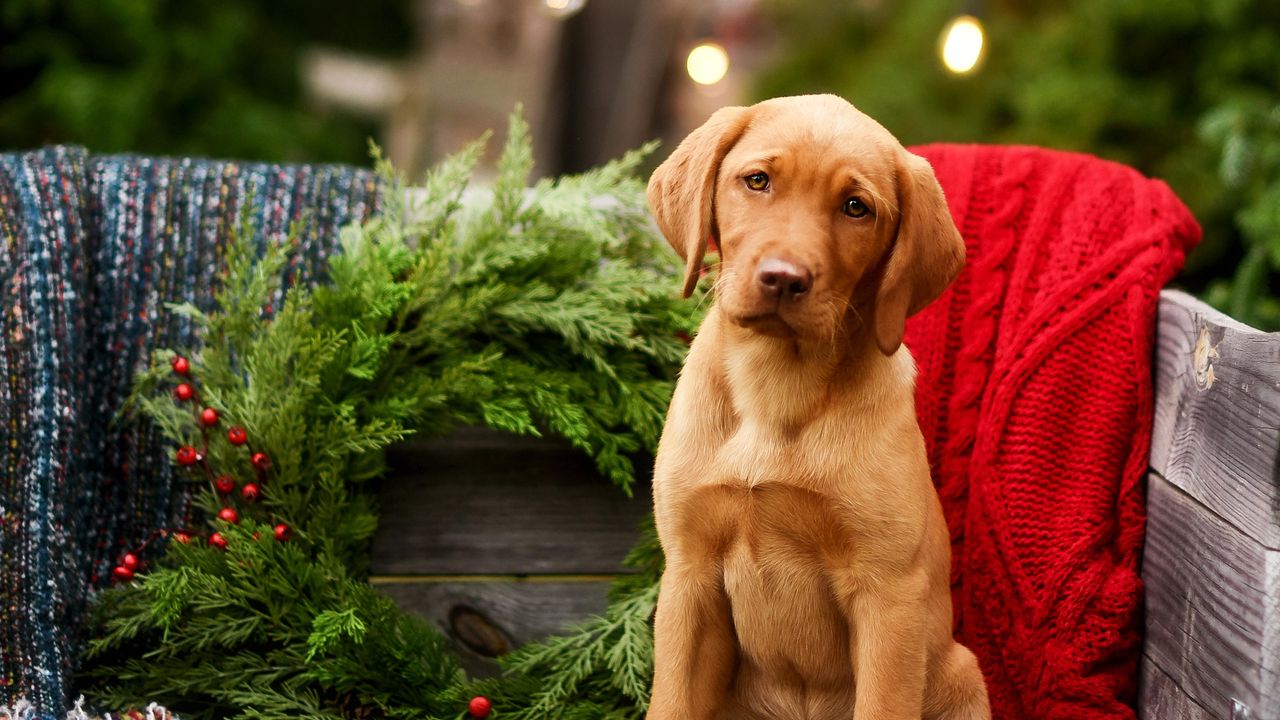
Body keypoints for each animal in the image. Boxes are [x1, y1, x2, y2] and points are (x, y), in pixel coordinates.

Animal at [650, 95, 988, 717]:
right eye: (757, 181)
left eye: (856, 208)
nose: (784, 279)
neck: (776, 387)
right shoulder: (688, 577)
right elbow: (672, 703)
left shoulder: (888, 598)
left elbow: (882, 704)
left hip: (960, 672)